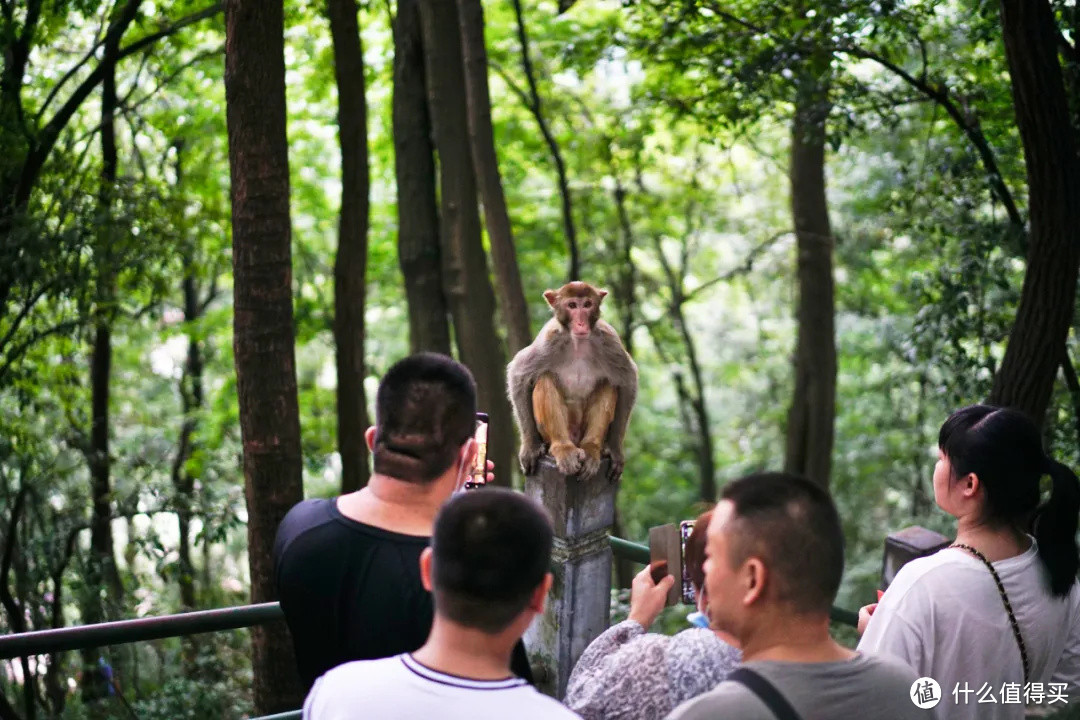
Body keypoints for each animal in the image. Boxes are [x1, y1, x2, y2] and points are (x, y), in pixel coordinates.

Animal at [507, 280, 635, 483]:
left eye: (587, 304)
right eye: (572, 305)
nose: (581, 322)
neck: (578, 343)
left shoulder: (610, 340)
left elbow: (628, 380)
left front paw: (615, 449)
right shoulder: (548, 339)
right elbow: (519, 373)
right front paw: (530, 446)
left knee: (607, 384)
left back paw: (591, 448)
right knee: (545, 378)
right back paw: (563, 448)